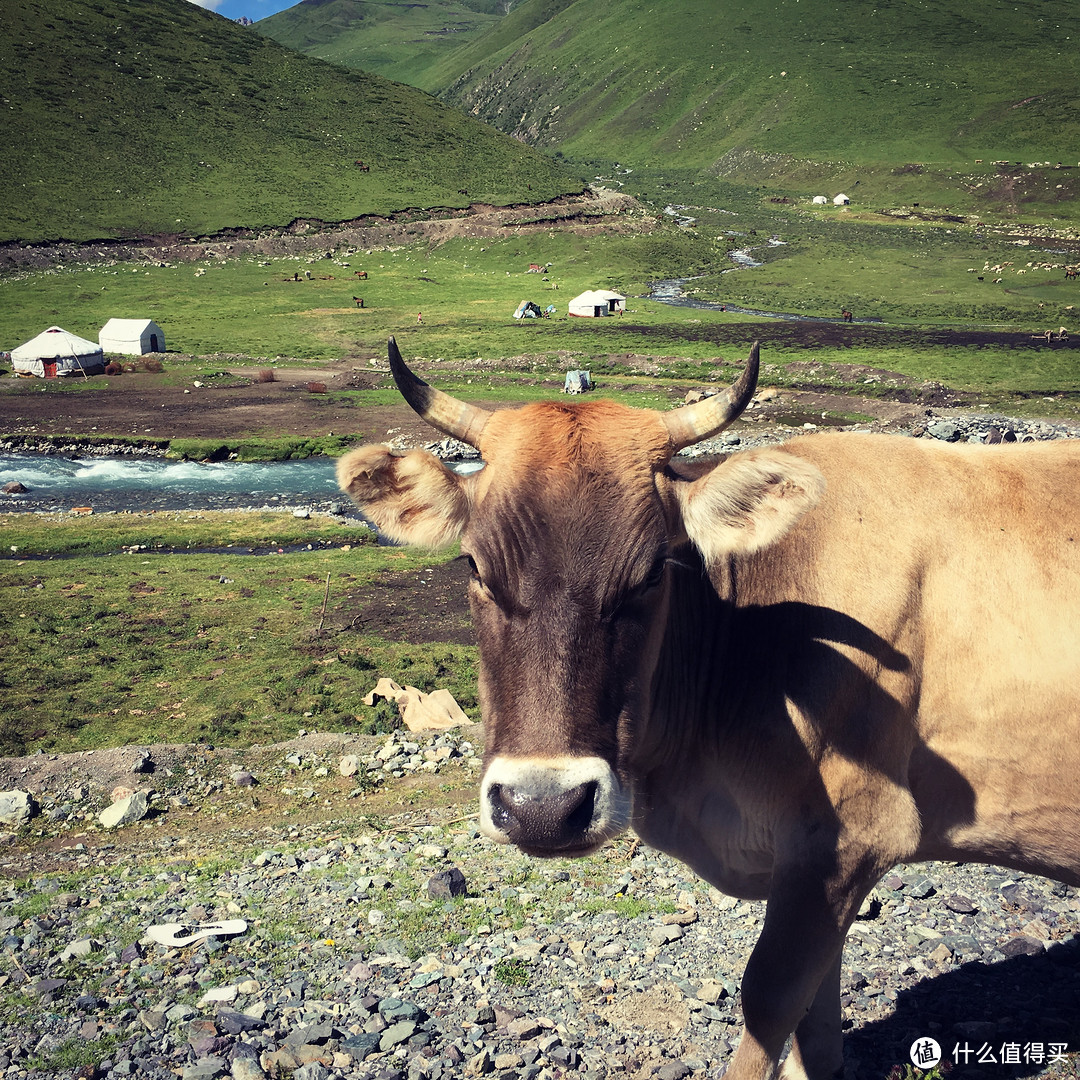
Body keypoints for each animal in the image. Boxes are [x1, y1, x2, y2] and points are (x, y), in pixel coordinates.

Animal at [339, 336, 1080, 1080]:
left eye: (652, 571)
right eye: (473, 566)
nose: (543, 808)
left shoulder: (851, 835)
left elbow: (770, 1000)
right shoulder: (818, 869)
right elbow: (816, 1021)